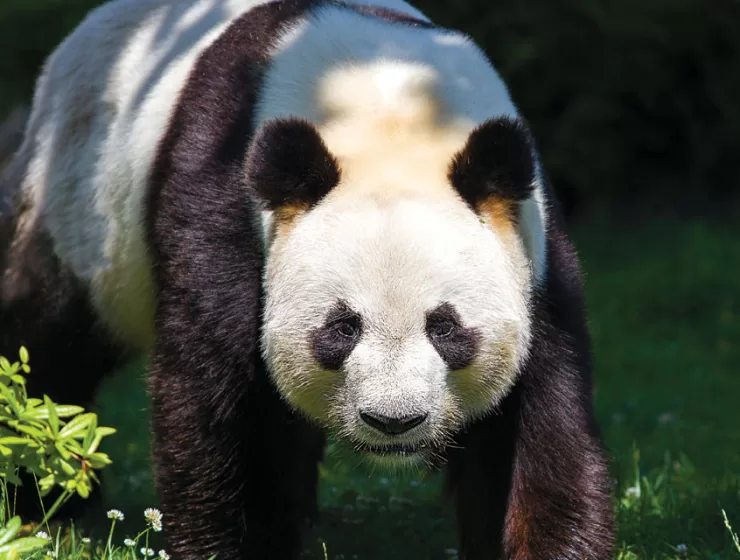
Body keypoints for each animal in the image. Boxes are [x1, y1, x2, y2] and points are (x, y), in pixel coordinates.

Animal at [0, 0, 615, 558]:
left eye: (445, 328)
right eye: (342, 328)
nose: (394, 421)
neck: (393, 111)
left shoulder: (532, 253)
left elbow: (541, 428)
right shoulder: (225, 201)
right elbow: (219, 398)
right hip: (82, 209)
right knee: (50, 341)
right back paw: (42, 496)